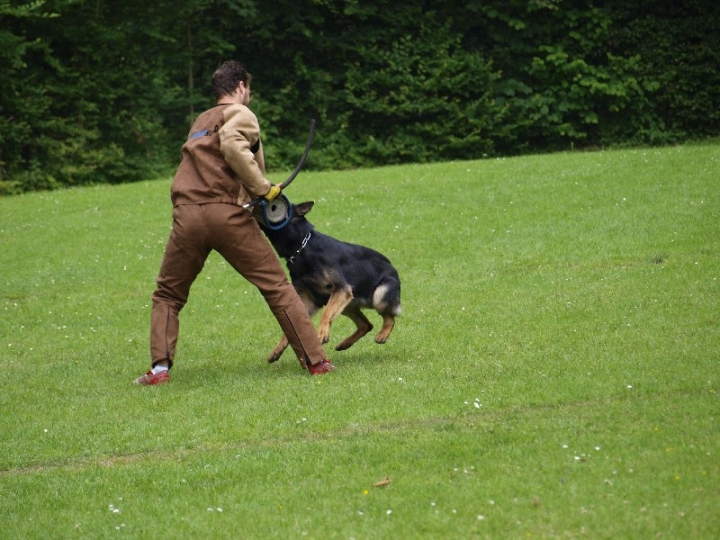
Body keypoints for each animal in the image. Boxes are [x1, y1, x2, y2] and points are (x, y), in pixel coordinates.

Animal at [260, 200, 404, 360]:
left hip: (378, 297)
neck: (301, 249)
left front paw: (321, 334)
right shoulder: (310, 300)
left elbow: (326, 313)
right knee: (366, 325)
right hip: (348, 306)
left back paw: (382, 335)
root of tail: (392, 266)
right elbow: (292, 326)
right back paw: (344, 344)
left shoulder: (341, 290)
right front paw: (278, 349)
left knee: (390, 317)